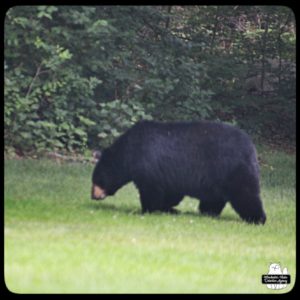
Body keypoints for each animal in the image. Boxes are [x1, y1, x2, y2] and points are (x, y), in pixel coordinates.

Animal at [91, 120, 268, 224]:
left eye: (96, 180)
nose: (93, 196)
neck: (129, 152)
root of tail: (251, 147)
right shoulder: (169, 174)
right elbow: (171, 193)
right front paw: (170, 208)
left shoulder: (149, 165)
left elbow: (152, 191)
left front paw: (148, 210)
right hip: (216, 180)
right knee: (214, 199)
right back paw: (208, 212)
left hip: (232, 169)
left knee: (245, 194)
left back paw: (257, 218)